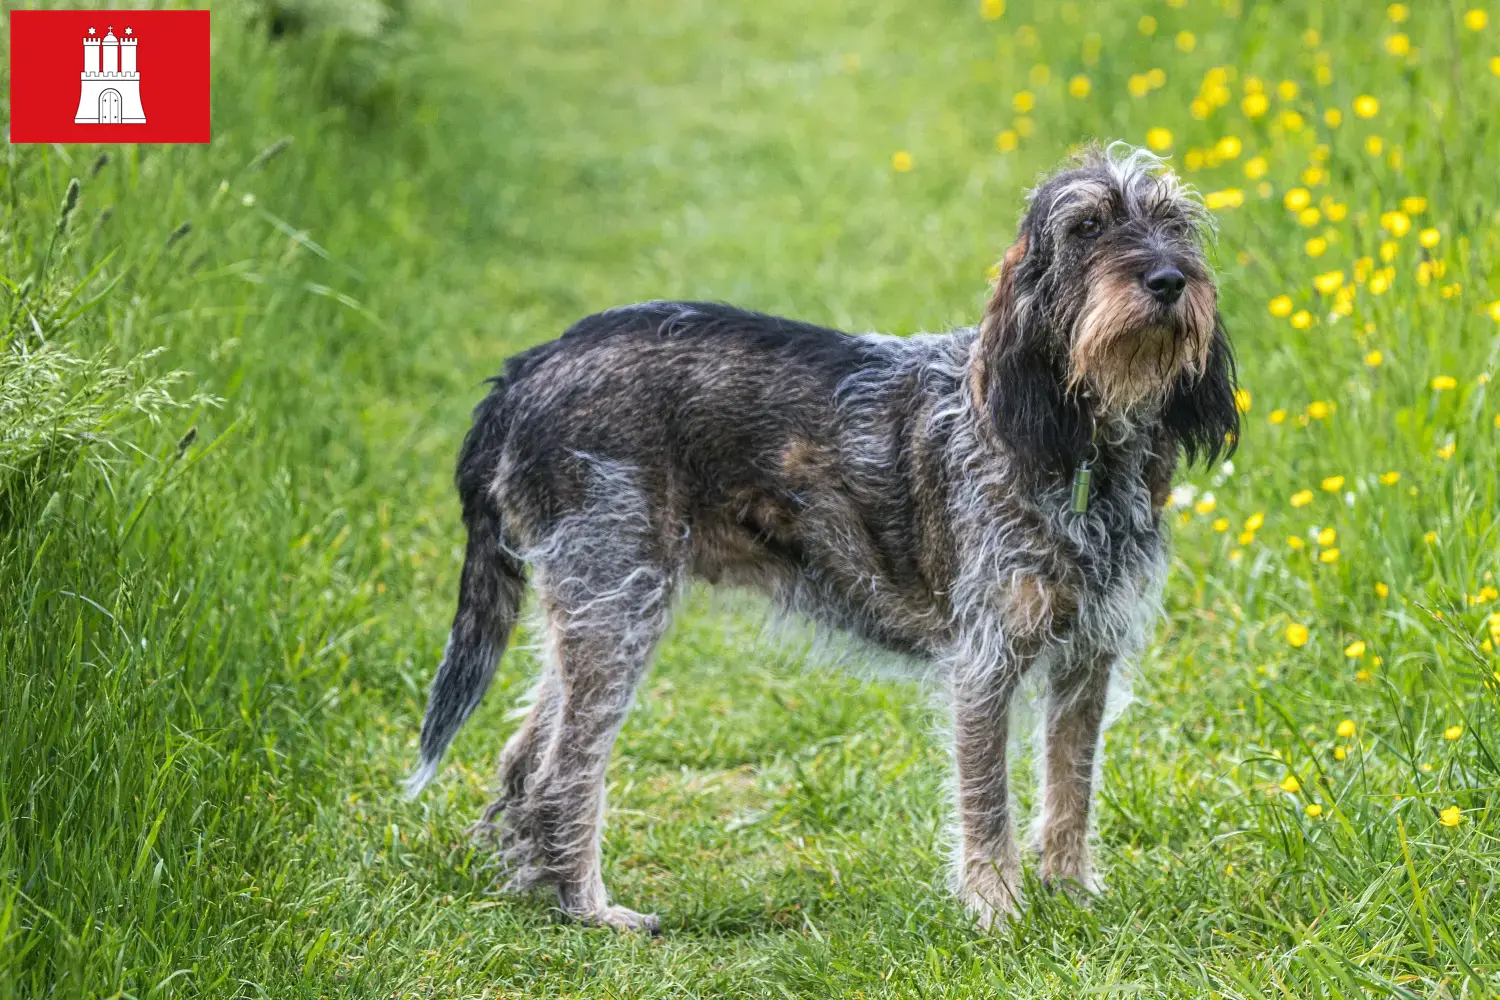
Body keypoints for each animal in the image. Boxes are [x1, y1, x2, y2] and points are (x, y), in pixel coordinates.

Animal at [405, 144, 1236, 935]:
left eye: (1174, 223)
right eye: (1088, 226)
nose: (1168, 279)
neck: (1081, 447)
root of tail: (525, 369)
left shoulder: (1088, 659)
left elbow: (1070, 790)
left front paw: (1071, 896)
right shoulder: (984, 664)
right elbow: (988, 801)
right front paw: (997, 911)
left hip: (590, 608)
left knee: (523, 758)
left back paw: (540, 892)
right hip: (617, 607)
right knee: (563, 774)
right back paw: (588, 910)